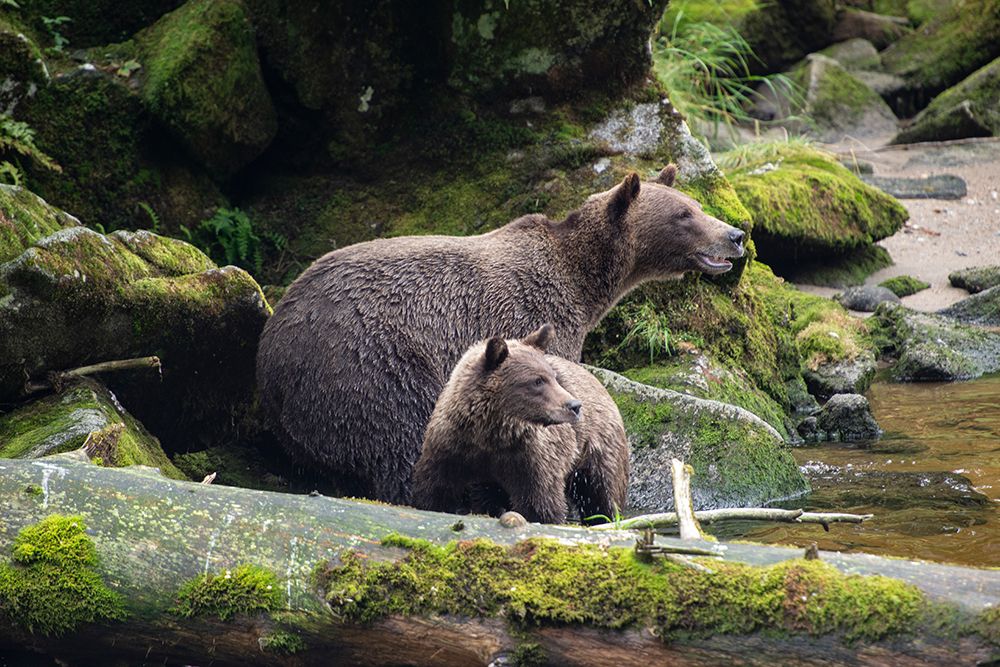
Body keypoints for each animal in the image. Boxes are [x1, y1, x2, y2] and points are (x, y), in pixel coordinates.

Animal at [256, 164, 745, 504]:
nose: (736, 234)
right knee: (400, 438)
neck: (583, 282)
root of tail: (270, 352)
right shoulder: (533, 314)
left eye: (696, 205)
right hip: (371, 363)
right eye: (684, 214)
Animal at [412, 324, 629, 524]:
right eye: (537, 381)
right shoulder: (451, 447)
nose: (574, 405)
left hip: (598, 449)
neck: (489, 433)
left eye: (553, 377)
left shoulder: (531, 458)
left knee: (601, 495)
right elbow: (435, 490)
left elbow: (541, 503)